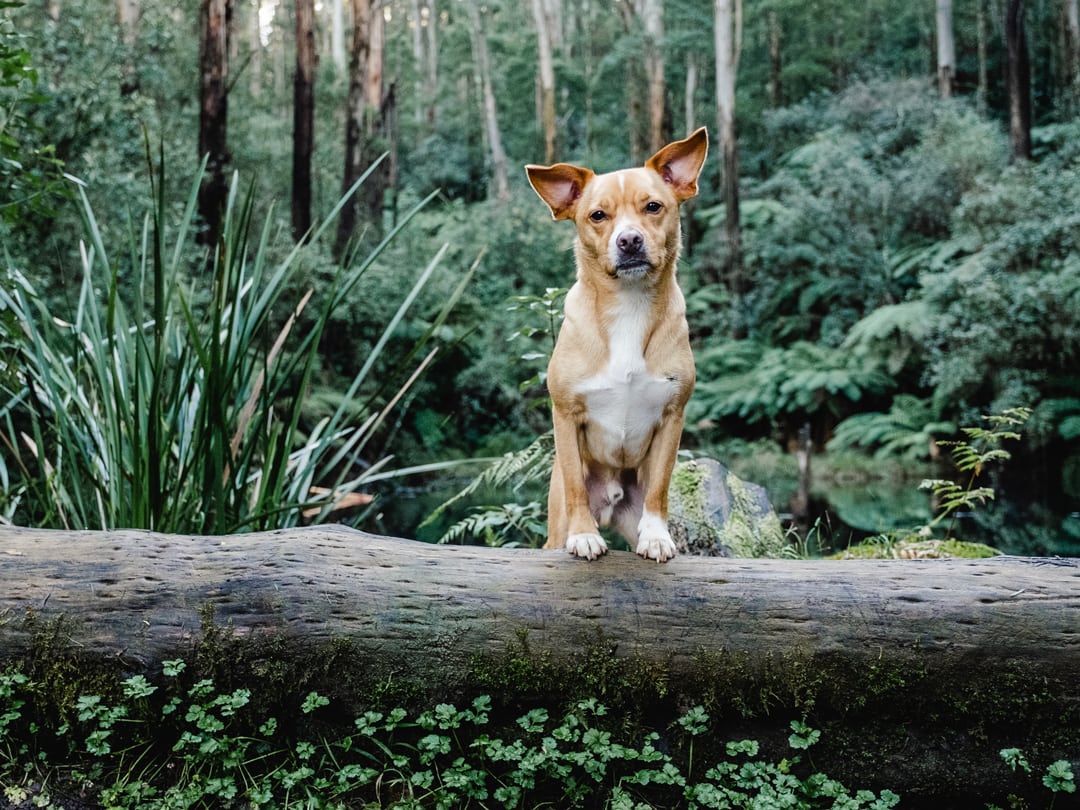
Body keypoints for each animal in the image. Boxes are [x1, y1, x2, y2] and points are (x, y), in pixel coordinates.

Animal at [524, 128, 708, 565]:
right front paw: (584, 535)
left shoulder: (672, 417)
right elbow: (575, 483)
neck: (629, 303)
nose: (629, 241)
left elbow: (660, 486)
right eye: (597, 215)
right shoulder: (565, 414)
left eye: (653, 207)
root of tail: (611, 499)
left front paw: (656, 536)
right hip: (555, 524)